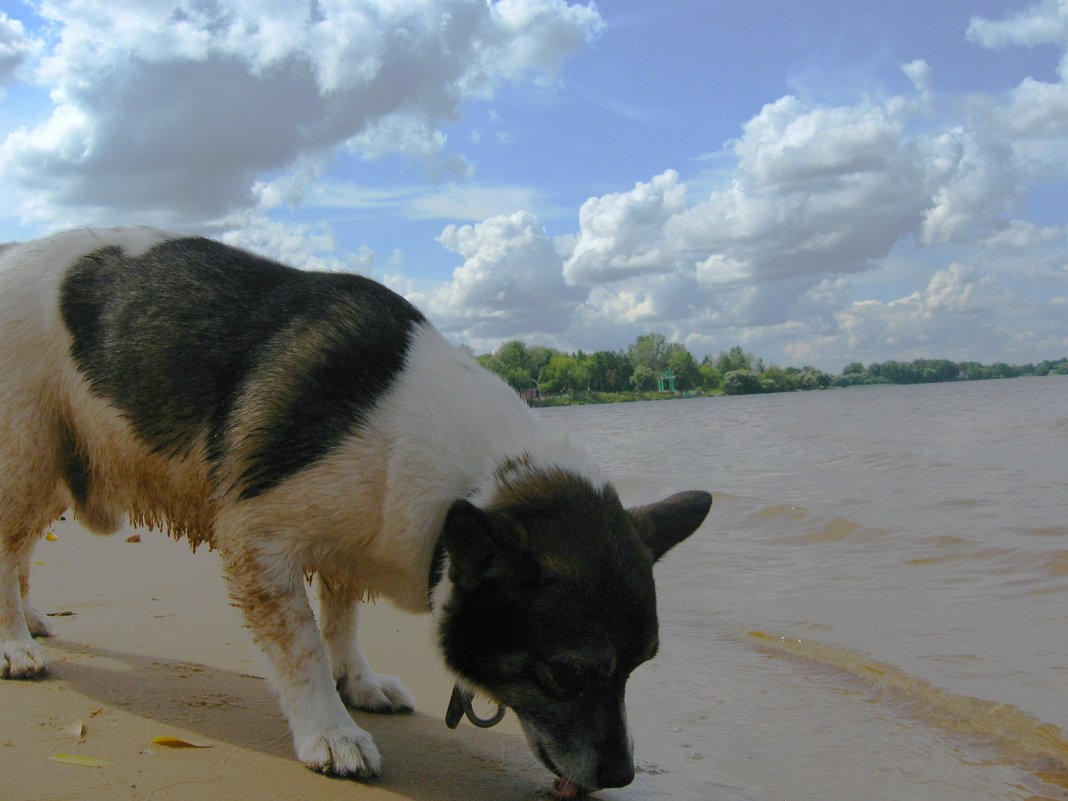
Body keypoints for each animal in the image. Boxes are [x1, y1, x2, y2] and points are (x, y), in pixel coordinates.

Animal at [4, 228, 713, 794]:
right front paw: (330, 731)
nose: (621, 775)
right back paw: (14, 644)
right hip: (24, 463)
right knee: (7, 552)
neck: (475, 476)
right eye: (567, 675)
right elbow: (304, 649)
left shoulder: (350, 536)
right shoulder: (258, 541)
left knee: (22, 553)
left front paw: (360, 683)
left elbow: (341, 618)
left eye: (639, 667)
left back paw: (32, 622)